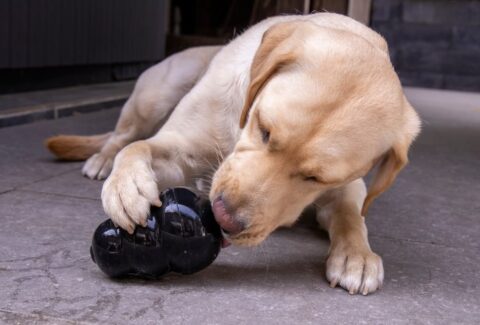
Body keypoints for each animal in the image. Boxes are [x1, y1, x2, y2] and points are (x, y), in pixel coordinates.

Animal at [46, 13, 420, 294]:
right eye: (264, 129)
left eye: (315, 177)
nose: (223, 218)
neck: (237, 130)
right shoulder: (177, 145)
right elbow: (139, 147)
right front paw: (127, 187)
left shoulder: (348, 186)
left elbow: (351, 215)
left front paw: (357, 255)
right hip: (156, 94)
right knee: (122, 136)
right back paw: (103, 159)